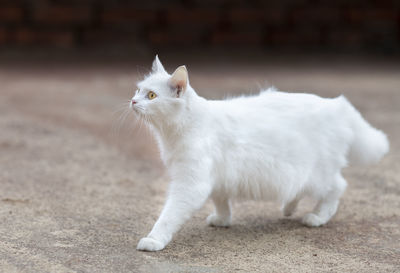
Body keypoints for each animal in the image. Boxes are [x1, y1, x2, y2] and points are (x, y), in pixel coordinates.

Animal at [133, 55, 390, 251]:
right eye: (138, 90)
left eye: (151, 95)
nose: (133, 101)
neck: (178, 130)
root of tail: (338, 105)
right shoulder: (216, 177)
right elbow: (220, 200)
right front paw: (223, 220)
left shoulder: (191, 183)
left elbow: (168, 215)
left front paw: (154, 240)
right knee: (303, 189)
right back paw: (289, 208)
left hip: (319, 174)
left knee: (337, 188)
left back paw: (317, 217)